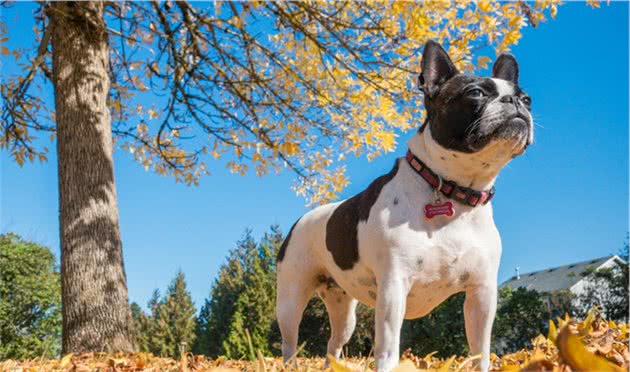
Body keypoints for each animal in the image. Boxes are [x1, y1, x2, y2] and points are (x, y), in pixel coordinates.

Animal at [276, 40, 532, 372]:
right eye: (475, 93)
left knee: (334, 344)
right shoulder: (393, 288)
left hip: (343, 308)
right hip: (291, 298)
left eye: (527, 98)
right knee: (289, 341)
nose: (518, 101)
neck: (454, 191)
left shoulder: (481, 293)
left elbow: (480, 351)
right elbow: (388, 349)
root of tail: (302, 219)